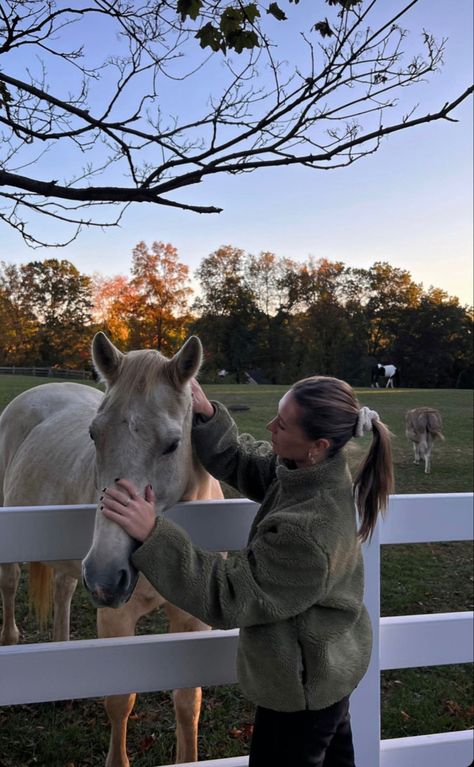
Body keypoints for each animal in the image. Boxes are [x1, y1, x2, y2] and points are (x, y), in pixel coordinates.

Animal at [0, 334, 224, 767]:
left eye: (172, 444)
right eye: (94, 435)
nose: (106, 576)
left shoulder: (193, 620)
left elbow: (187, 702)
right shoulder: (116, 619)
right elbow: (121, 699)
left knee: (63, 590)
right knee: (10, 583)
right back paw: (10, 639)